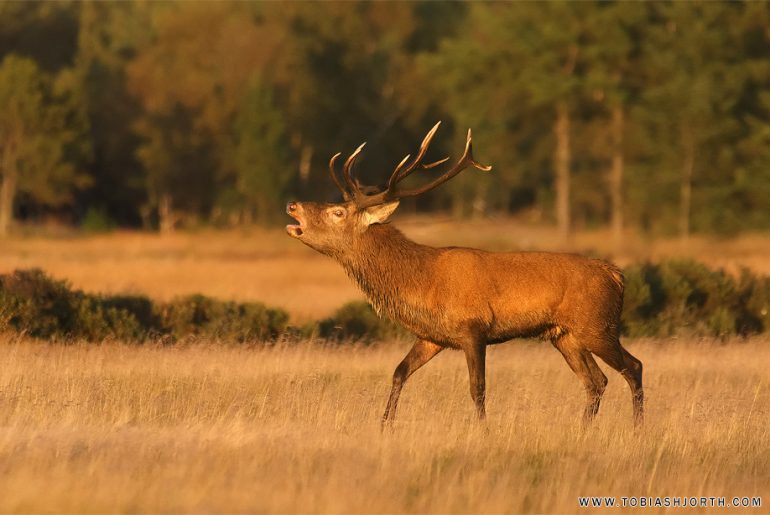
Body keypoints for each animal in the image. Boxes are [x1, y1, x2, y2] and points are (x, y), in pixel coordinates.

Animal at [285, 122, 644, 428]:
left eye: (337, 212)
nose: (292, 205)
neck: (419, 283)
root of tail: (617, 275)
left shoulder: (474, 328)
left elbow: (477, 388)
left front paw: (483, 430)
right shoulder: (432, 337)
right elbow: (399, 372)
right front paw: (384, 425)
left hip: (597, 324)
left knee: (633, 366)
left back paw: (638, 429)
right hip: (565, 335)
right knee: (596, 380)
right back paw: (583, 429)